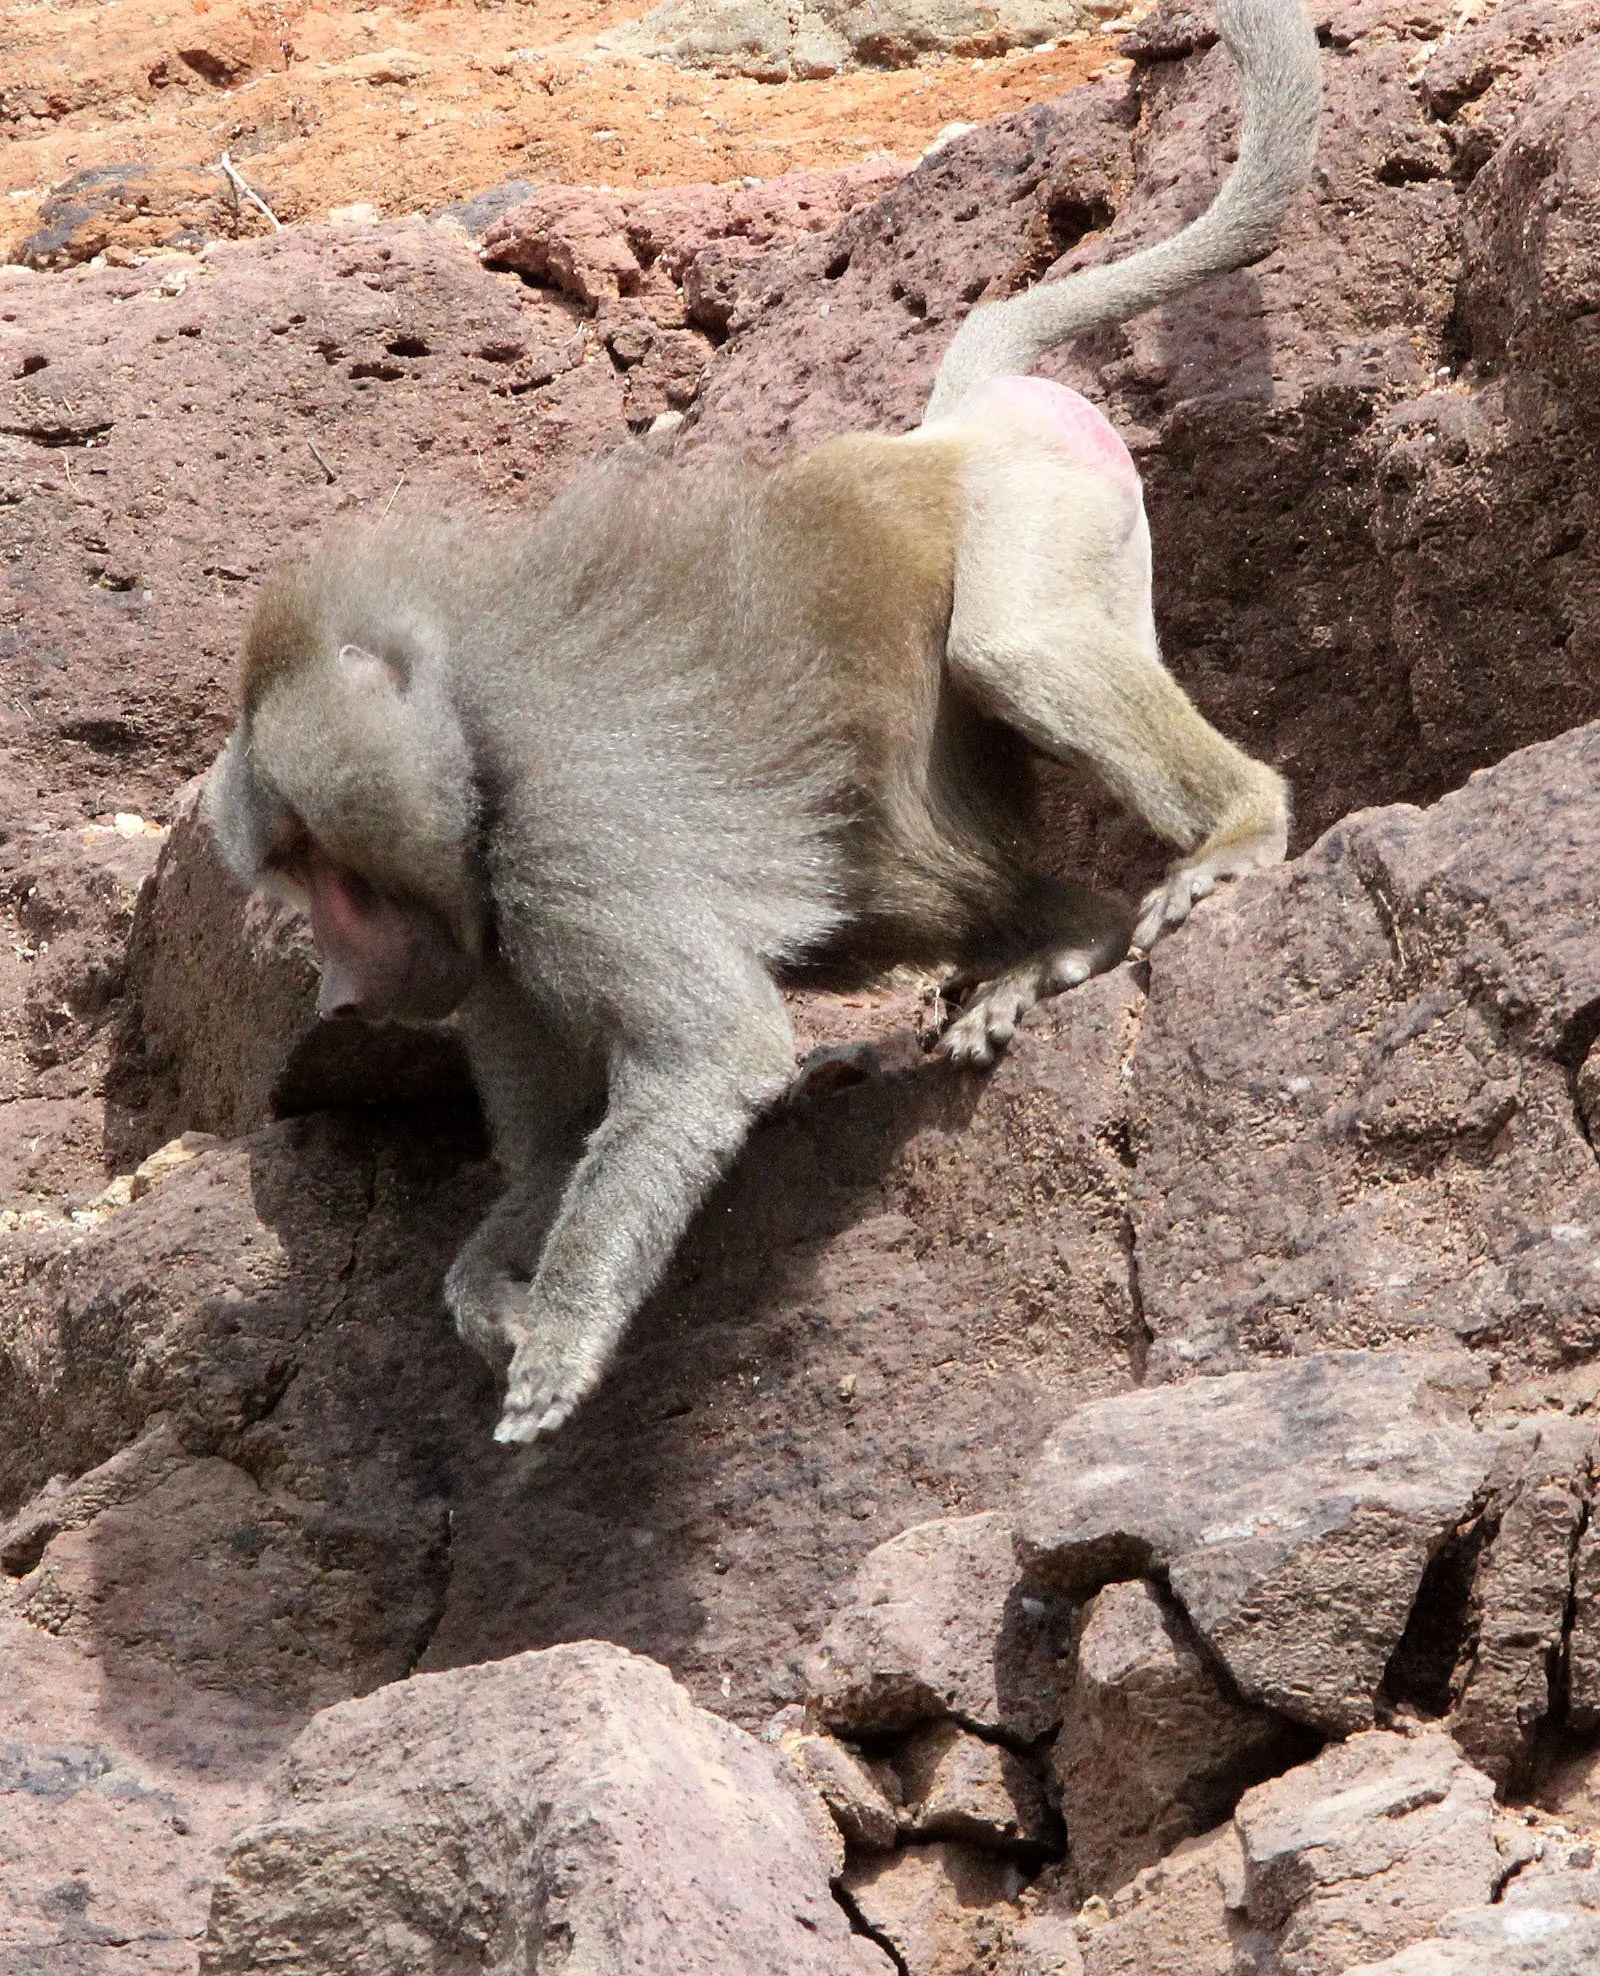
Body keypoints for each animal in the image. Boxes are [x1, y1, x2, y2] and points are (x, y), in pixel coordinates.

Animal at [205, 0, 1321, 1444]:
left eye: (322, 872)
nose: (340, 990)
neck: (474, 760)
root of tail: (938, 431)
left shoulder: (574, 857)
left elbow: (711, 1060)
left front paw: (559, 1341)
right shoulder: (492, 950)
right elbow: (561, 1145)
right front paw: (489, 1288)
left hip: (1040, 493)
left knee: (1013, 656)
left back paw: (1221, 843)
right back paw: (1059, 938)